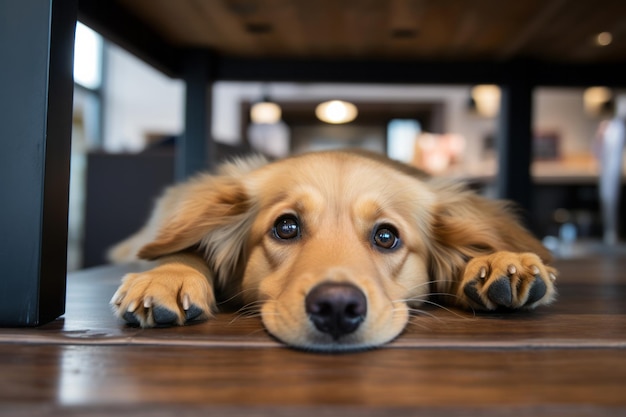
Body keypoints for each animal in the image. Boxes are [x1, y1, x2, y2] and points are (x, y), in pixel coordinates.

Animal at [108, 150, 556, 352]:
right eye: (286, 227)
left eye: (386, 236)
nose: (337, 307)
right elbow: (187, 252)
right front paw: (166, 278)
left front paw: (499, 262)